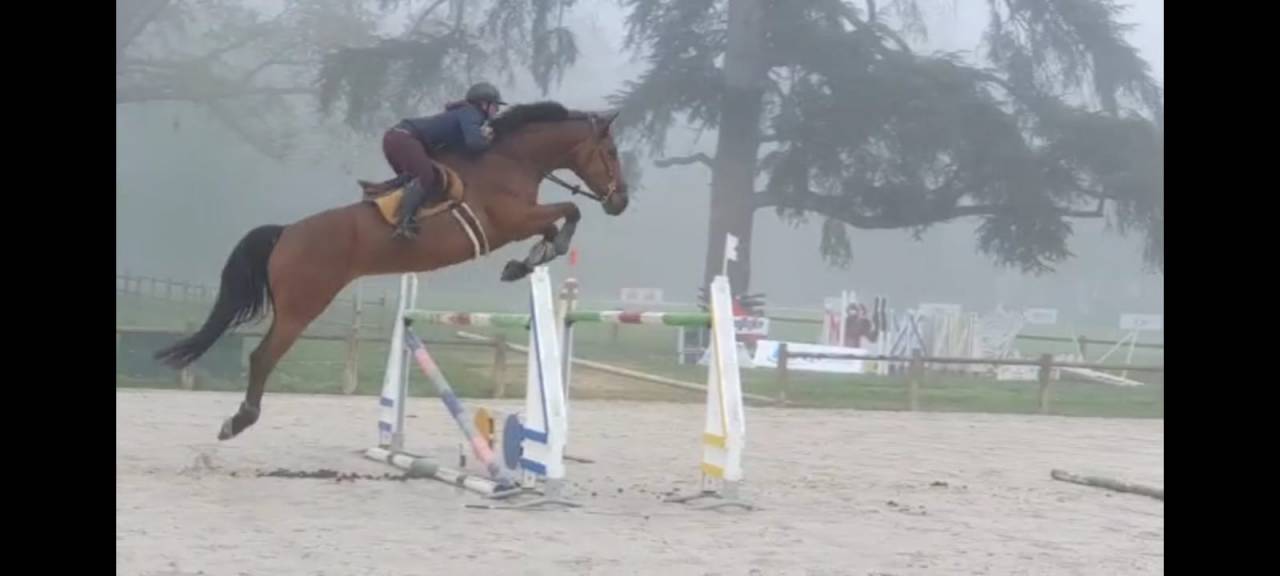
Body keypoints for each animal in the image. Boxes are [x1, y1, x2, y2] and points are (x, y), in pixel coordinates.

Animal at [153, 102, 630, 441]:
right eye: (610, 152)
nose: (621, 201)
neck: (511, 158)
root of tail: (286, 233)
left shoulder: (521, 221)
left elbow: (553, 225)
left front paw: (524, 263)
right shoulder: (511, 220)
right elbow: (569, 211)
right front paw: (542, 253)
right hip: (302, 306)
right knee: (262, 356)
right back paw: (239, 421)